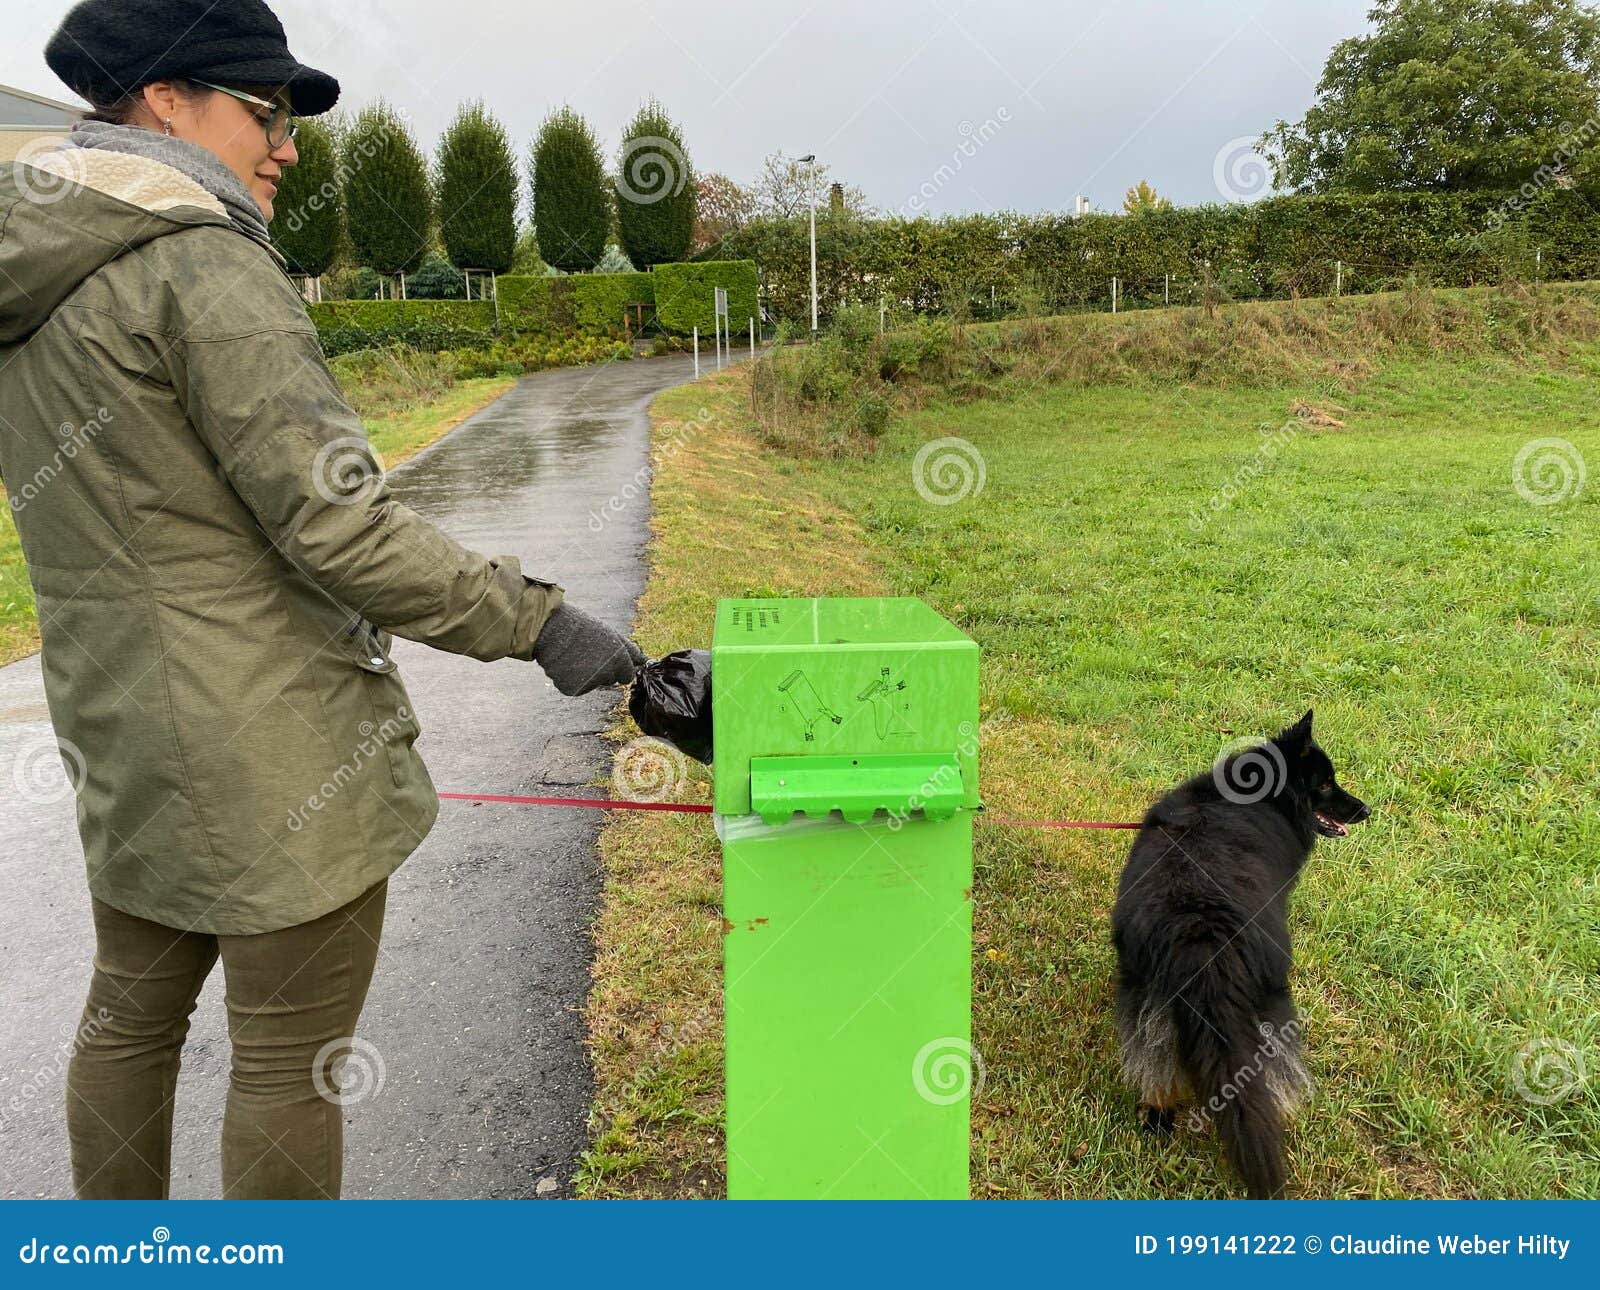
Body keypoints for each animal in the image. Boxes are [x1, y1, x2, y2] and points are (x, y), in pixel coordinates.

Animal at [1113, 713, 1363, 1197]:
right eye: (1325, 783)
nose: (1366, 811)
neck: (1266, 797)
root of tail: (1200, 931)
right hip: (1269, 998)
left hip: (1146, 994)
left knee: (1155, 1061)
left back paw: (1157, 1116)